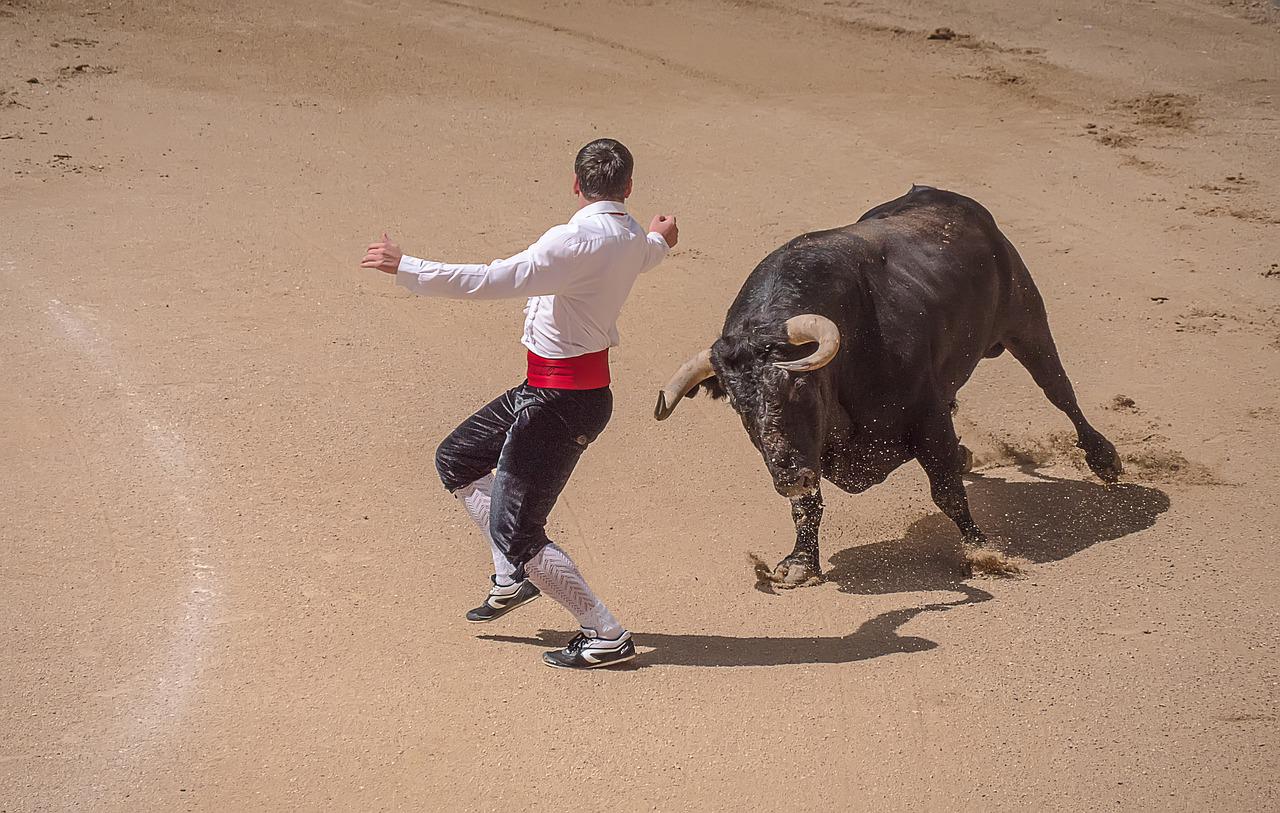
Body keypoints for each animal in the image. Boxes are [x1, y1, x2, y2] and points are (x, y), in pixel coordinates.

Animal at [660, 188, 1121, 588]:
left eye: (798, 388)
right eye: (740, 407)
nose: (789, 476)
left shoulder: (927, 416)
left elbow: (947, 491)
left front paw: (980, 549)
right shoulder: (810, 453)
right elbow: (807, 506)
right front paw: (801, 563)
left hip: (1025, 320)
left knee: (1059, 391)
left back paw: (1104, 459)